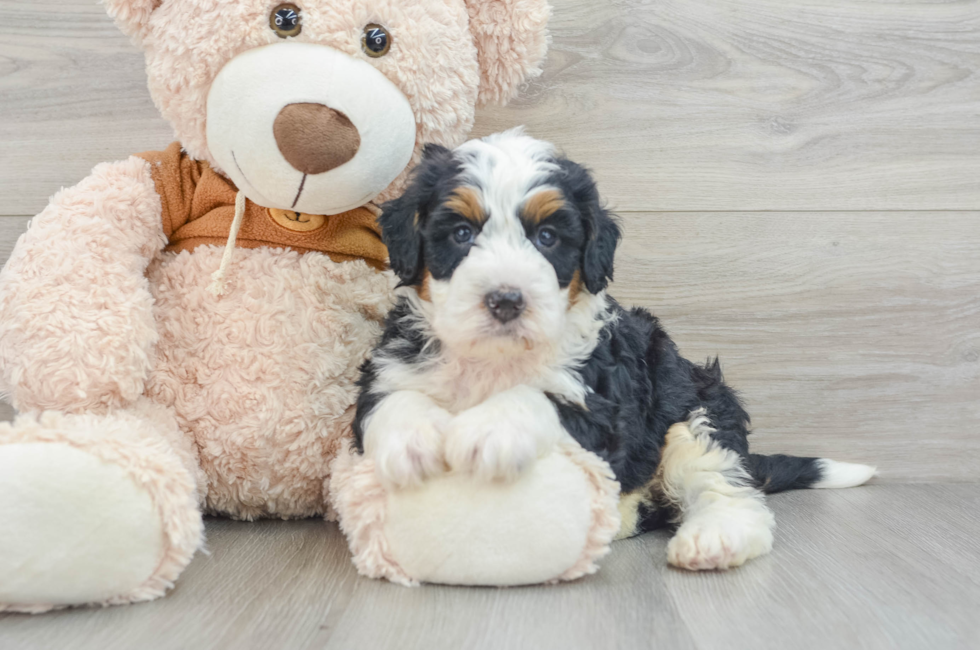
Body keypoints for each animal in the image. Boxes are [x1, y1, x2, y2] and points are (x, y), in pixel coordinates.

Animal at [350, 130, 872, 568]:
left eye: (547, 237)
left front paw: (489, 429)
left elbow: (540, 399)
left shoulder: (600, 406)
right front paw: (410, 442)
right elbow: (392, 400)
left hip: (696, 413)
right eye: (461, 233)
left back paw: (715, 537)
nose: (506, 300)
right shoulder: (390, 367)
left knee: (723, 485)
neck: (496, 360)